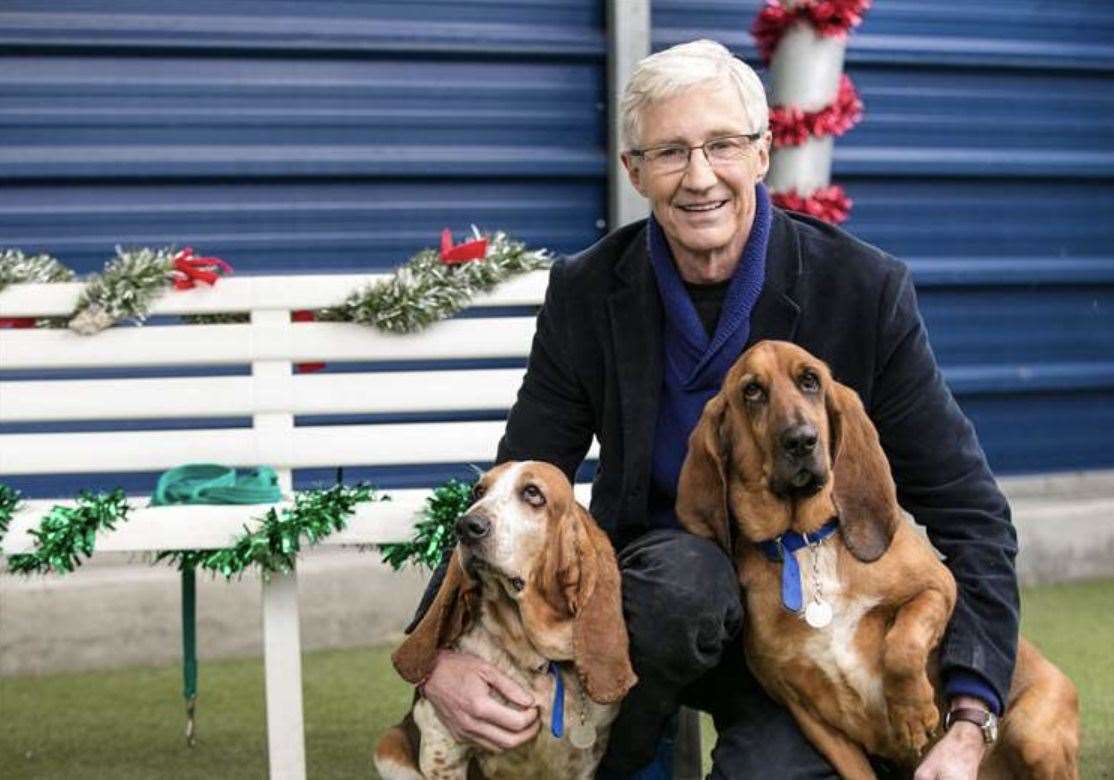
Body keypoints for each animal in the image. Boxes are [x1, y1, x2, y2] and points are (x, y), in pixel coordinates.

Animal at [374, 459, 637, 775]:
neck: (538, 661)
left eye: (533, 493)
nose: (466, 526)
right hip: (389, 747)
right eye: (478, 492)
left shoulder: (584, 762)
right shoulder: (443, 748)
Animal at [672, 340, 1073, 780]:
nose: (801, 440)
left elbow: (903, 643)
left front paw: (913, 712)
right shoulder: (810, 715)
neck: (806, 541)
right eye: (752, 391)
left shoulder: (938, 588)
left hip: (1033, 733)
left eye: (810, 380)